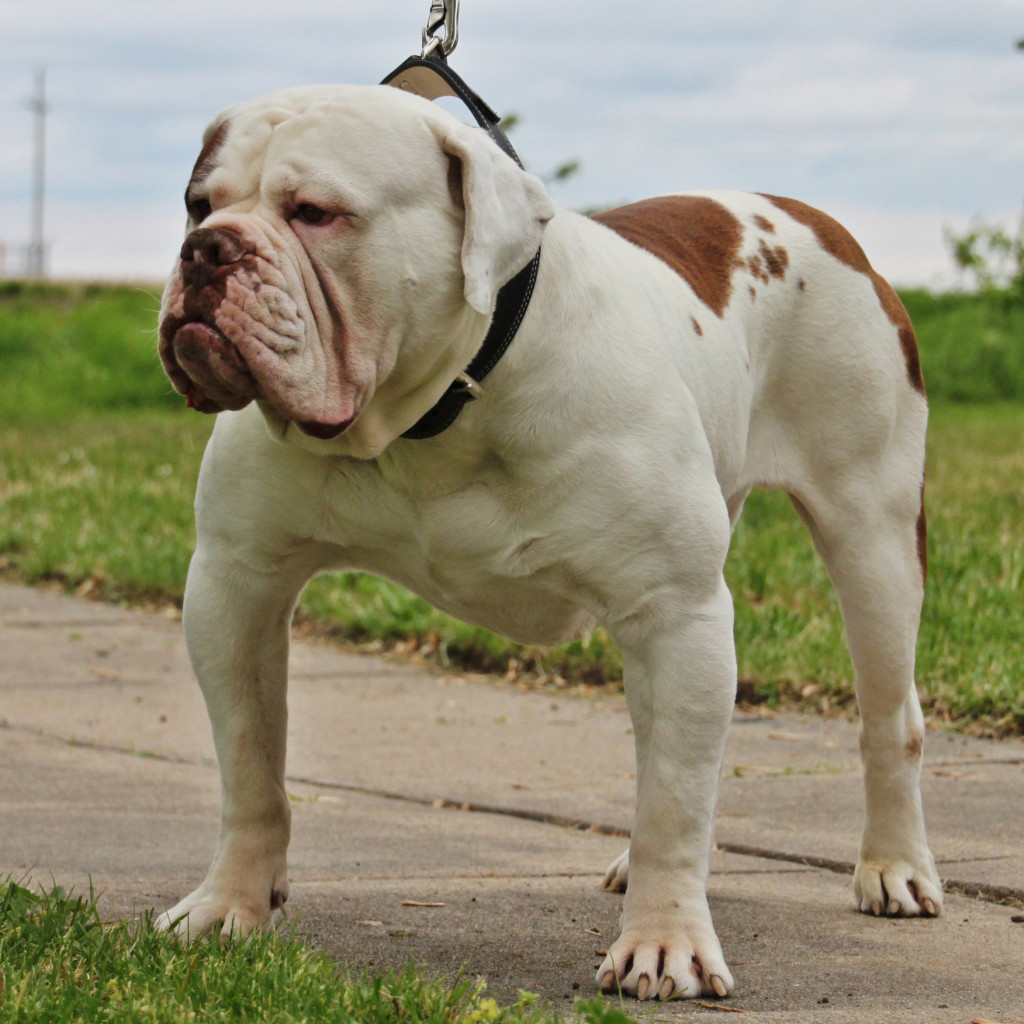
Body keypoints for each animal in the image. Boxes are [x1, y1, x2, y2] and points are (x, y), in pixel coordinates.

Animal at [153, 81, 942, 999]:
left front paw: (666, 942)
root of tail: (814, 217)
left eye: (316, 213)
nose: (207, 249)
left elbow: (676, 798)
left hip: (873, 534)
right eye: (197, 203)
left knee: (887, 714)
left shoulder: (677, 610)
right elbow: (251, 769)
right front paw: (228, 907)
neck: (432, 413)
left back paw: (894, 866)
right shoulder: (236, 584)